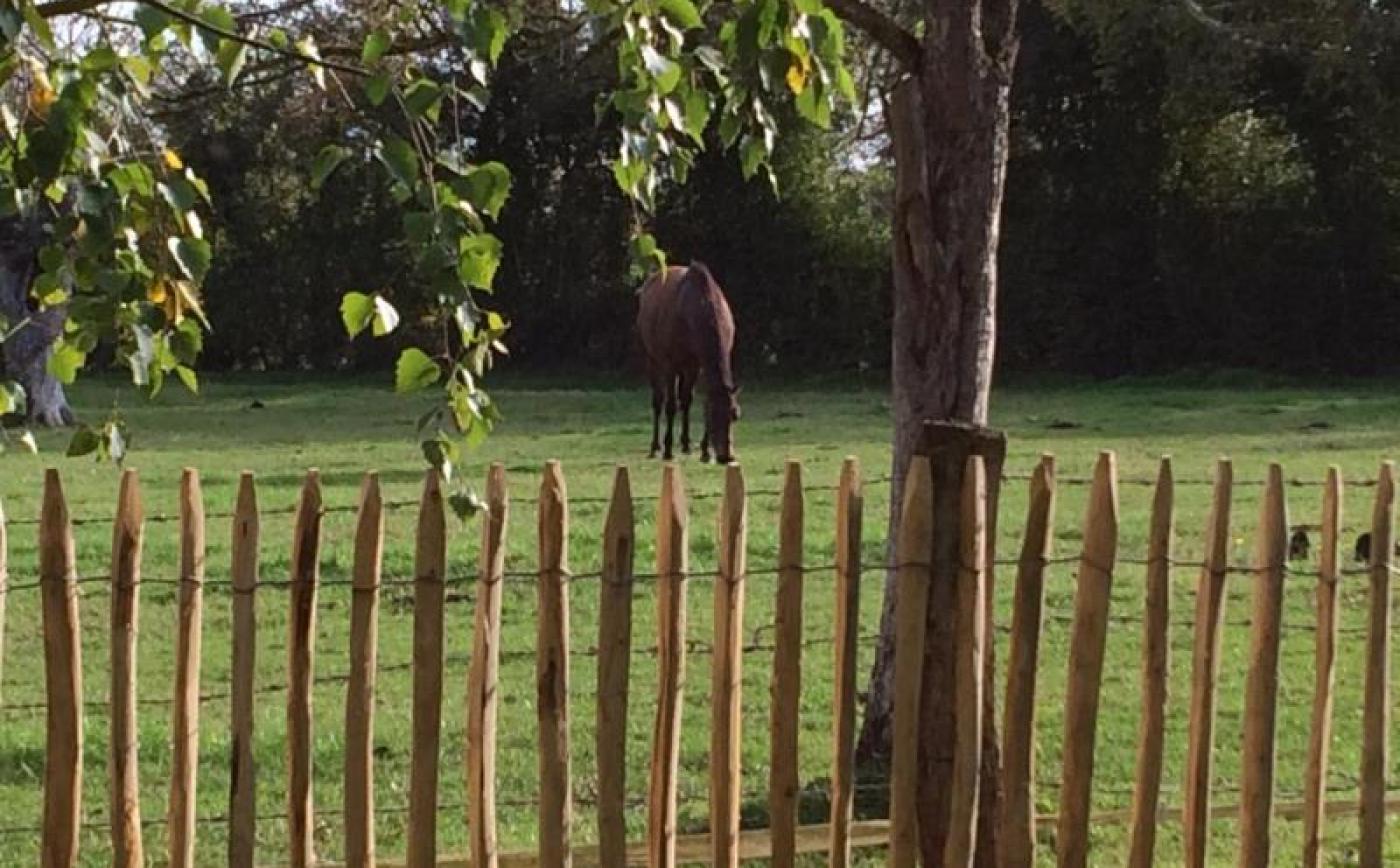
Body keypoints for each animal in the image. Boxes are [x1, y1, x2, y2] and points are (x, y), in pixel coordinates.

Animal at [638, 260, 739, 464]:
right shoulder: (670, 365)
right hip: (654, 361)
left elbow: (690, 400)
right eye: (713, 415)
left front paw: (704, 451)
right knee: (658, 401)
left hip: (686, 367)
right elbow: (670, 406)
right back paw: (656, 447)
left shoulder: (697, 365)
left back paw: (685, 444)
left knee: (685, 400)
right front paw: (668, 450)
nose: (726, 456)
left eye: (735, 415)